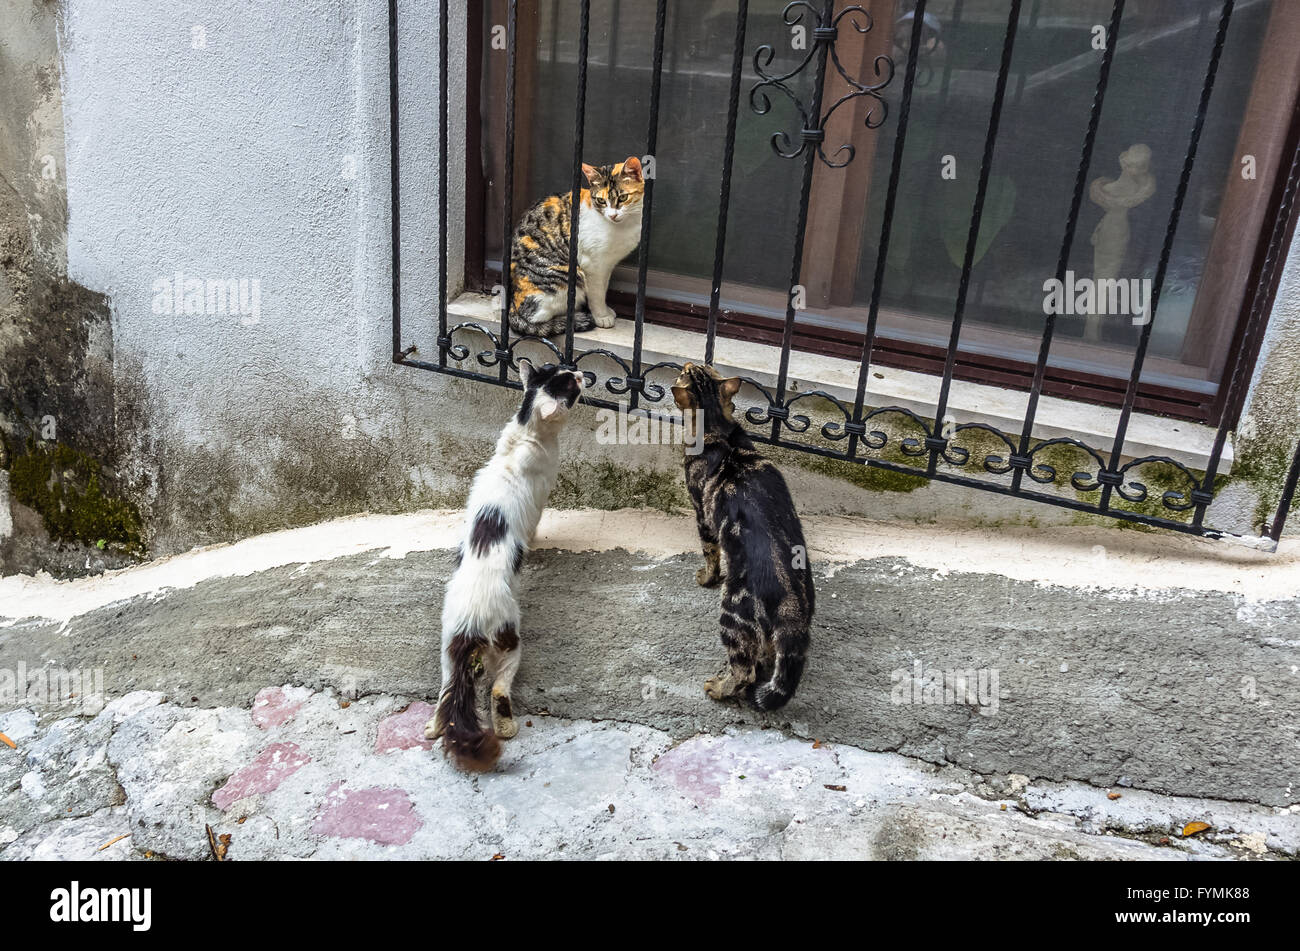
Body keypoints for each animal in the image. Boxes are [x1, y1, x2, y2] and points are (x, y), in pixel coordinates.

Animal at [423, 361, 587, 769]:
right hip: (510, 638)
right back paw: (506, 728)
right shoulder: (541, 498)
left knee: (446, 690)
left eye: (564, 368)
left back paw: (433, 727)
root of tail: (470, 622)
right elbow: (535, 527)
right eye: (571, 384)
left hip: (447, 647)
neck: (523, 439)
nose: (581, 372)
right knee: (498, 688)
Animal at [509, 158, 647, 342]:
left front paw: (605, 310)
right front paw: (601, 316)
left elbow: (603, 288)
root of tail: (513, 304)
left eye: (623, 197)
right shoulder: (593, 264)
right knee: (535, 318)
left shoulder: (607, 265)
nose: (612, 215)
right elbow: (597, 293)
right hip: (567, 277)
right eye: (601, 201)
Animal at [670, 361, 811, 711]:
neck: (719, 430)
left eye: (684, 371)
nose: (687, 363)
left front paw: (706, 577)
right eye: (703, 367)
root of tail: (793, 609)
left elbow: (709, 553)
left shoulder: (702, 514)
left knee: (744, 671)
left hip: (732, 617)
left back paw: (718, 688)